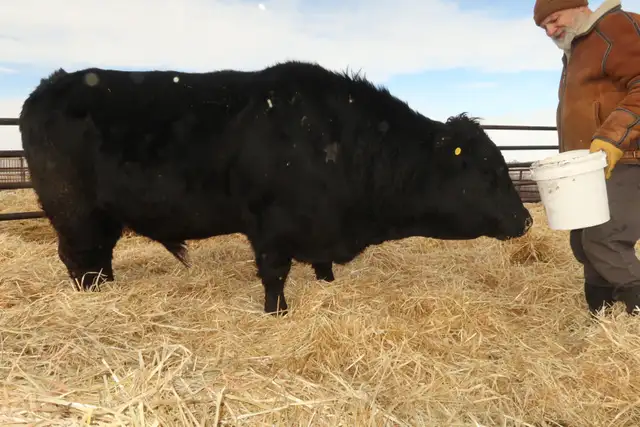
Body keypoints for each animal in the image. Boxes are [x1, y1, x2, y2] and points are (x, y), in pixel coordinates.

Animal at [19, 60, 533, 316]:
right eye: (488, 170)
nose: (526, 219)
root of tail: (50, 86)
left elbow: (321, 267)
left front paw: (326, 285)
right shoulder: (271, 228)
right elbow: (274, 275)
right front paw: (277, 313)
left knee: (98, 256)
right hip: (75, 211)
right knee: (80, 258)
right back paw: (95, 299)